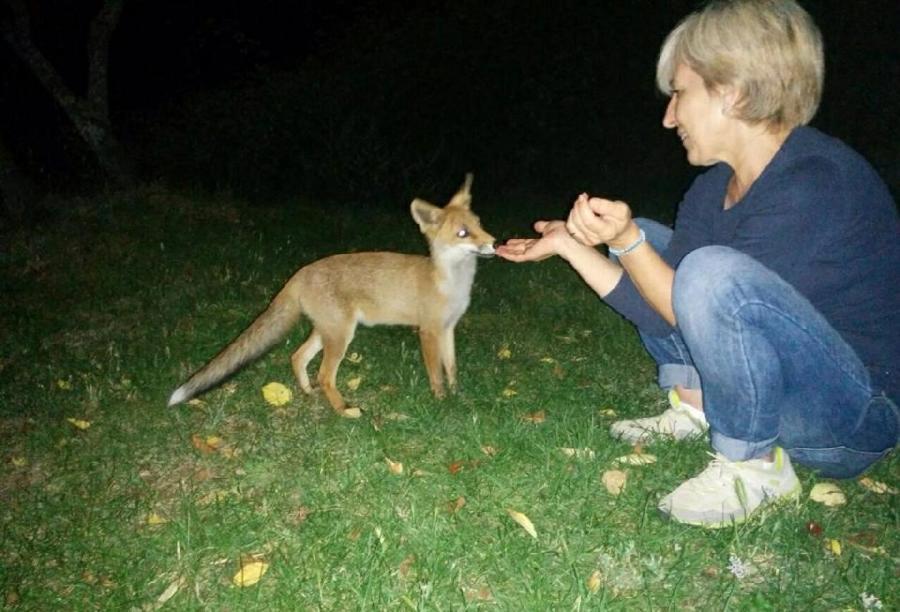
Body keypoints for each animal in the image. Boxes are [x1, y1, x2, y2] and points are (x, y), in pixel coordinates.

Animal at [167, 175, 492, 418]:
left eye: (479, 224)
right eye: (463, 233)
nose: (493, 242)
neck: (450, 282)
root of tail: (301, 272)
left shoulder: (448, 328)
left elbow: (452, 368)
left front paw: (457, 395)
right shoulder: (428, 331)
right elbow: (436, 372)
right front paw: (440, 401)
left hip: (327, 331)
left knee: (298, 356)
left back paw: (308, 391)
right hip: (341, 335)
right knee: (324, 375)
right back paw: (343, 410)